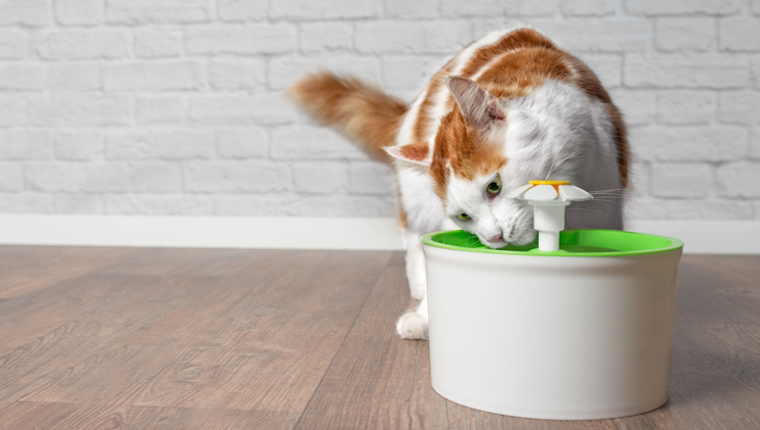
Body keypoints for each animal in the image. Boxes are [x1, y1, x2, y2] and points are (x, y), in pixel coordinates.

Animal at [286, 28, 628, 340]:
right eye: (464, 216)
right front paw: (424, 315)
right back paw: (419, 284)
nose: (494, 237)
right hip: (415, 198)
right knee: (412, 237)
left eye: (494, 187)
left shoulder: (605, 199)